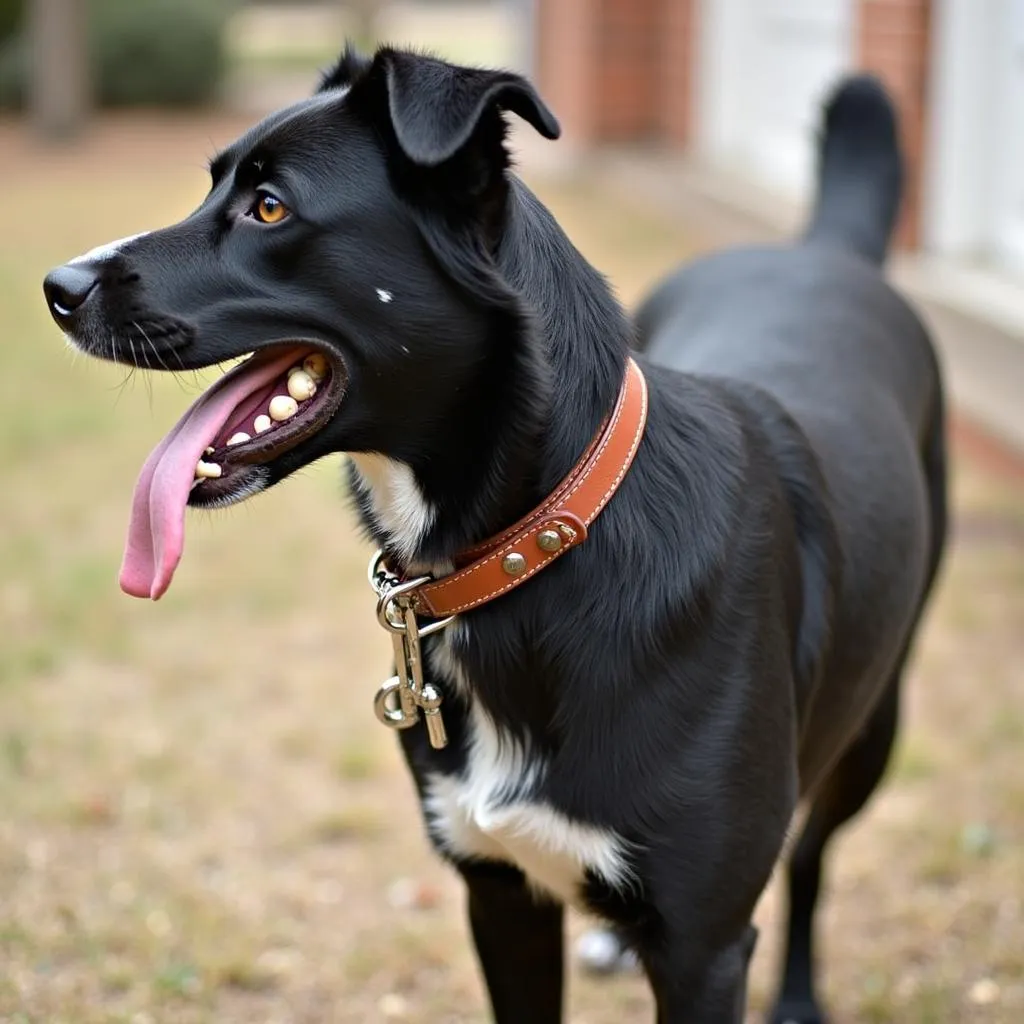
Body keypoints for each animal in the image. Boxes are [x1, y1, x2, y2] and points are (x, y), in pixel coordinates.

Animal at [46, 44, 942, 1019]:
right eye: (215, 186)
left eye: (270, 206)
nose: (58, 288)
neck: (536, 544)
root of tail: (820, 254)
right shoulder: (500, 897)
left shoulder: (704, 949)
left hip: (875, 721)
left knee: (813, 851)